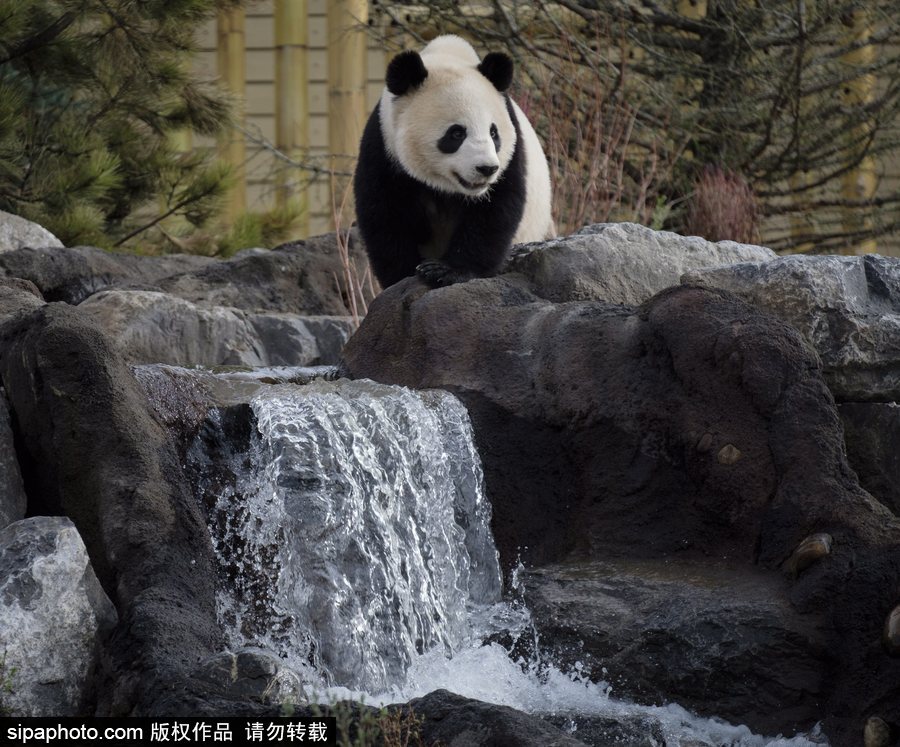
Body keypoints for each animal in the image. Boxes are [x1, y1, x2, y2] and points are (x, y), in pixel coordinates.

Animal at [354, 34, 552, 290]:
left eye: (493, 133)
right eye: (456, 133)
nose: (486, 169)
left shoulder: (511, 156)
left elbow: (494, 212)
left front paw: (445, 271)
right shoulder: (383, 146)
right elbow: (385, 214)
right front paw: (404, 275)